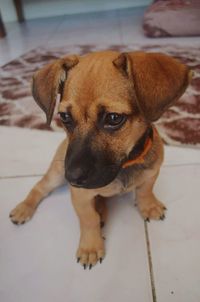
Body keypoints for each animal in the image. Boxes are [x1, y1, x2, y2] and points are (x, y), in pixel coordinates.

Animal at [9, 51, 191, 268]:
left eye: (113, 118)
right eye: (65, 117)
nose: (72, 178)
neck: (125, 164)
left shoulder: (152, 173)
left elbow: (145, 191)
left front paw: (149, 206)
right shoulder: (79, 196)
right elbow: (88, 220)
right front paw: (90, 248)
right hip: (55, 175)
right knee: (39, 187)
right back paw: (23, 209)